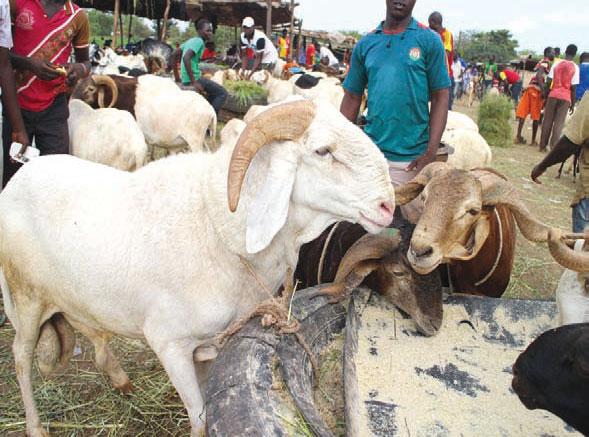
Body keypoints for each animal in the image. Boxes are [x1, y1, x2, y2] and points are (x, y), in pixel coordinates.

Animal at [2, 99, 396, 436]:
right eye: (323, 151)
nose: (388, 206)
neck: (216, 223)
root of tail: (18, 179)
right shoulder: (170, 344)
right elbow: (201, 419)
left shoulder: (214, 346)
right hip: (25, 296)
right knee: (21, 357)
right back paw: (35, 425)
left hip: (75, 295)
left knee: (91, 331)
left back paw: (119, 378)